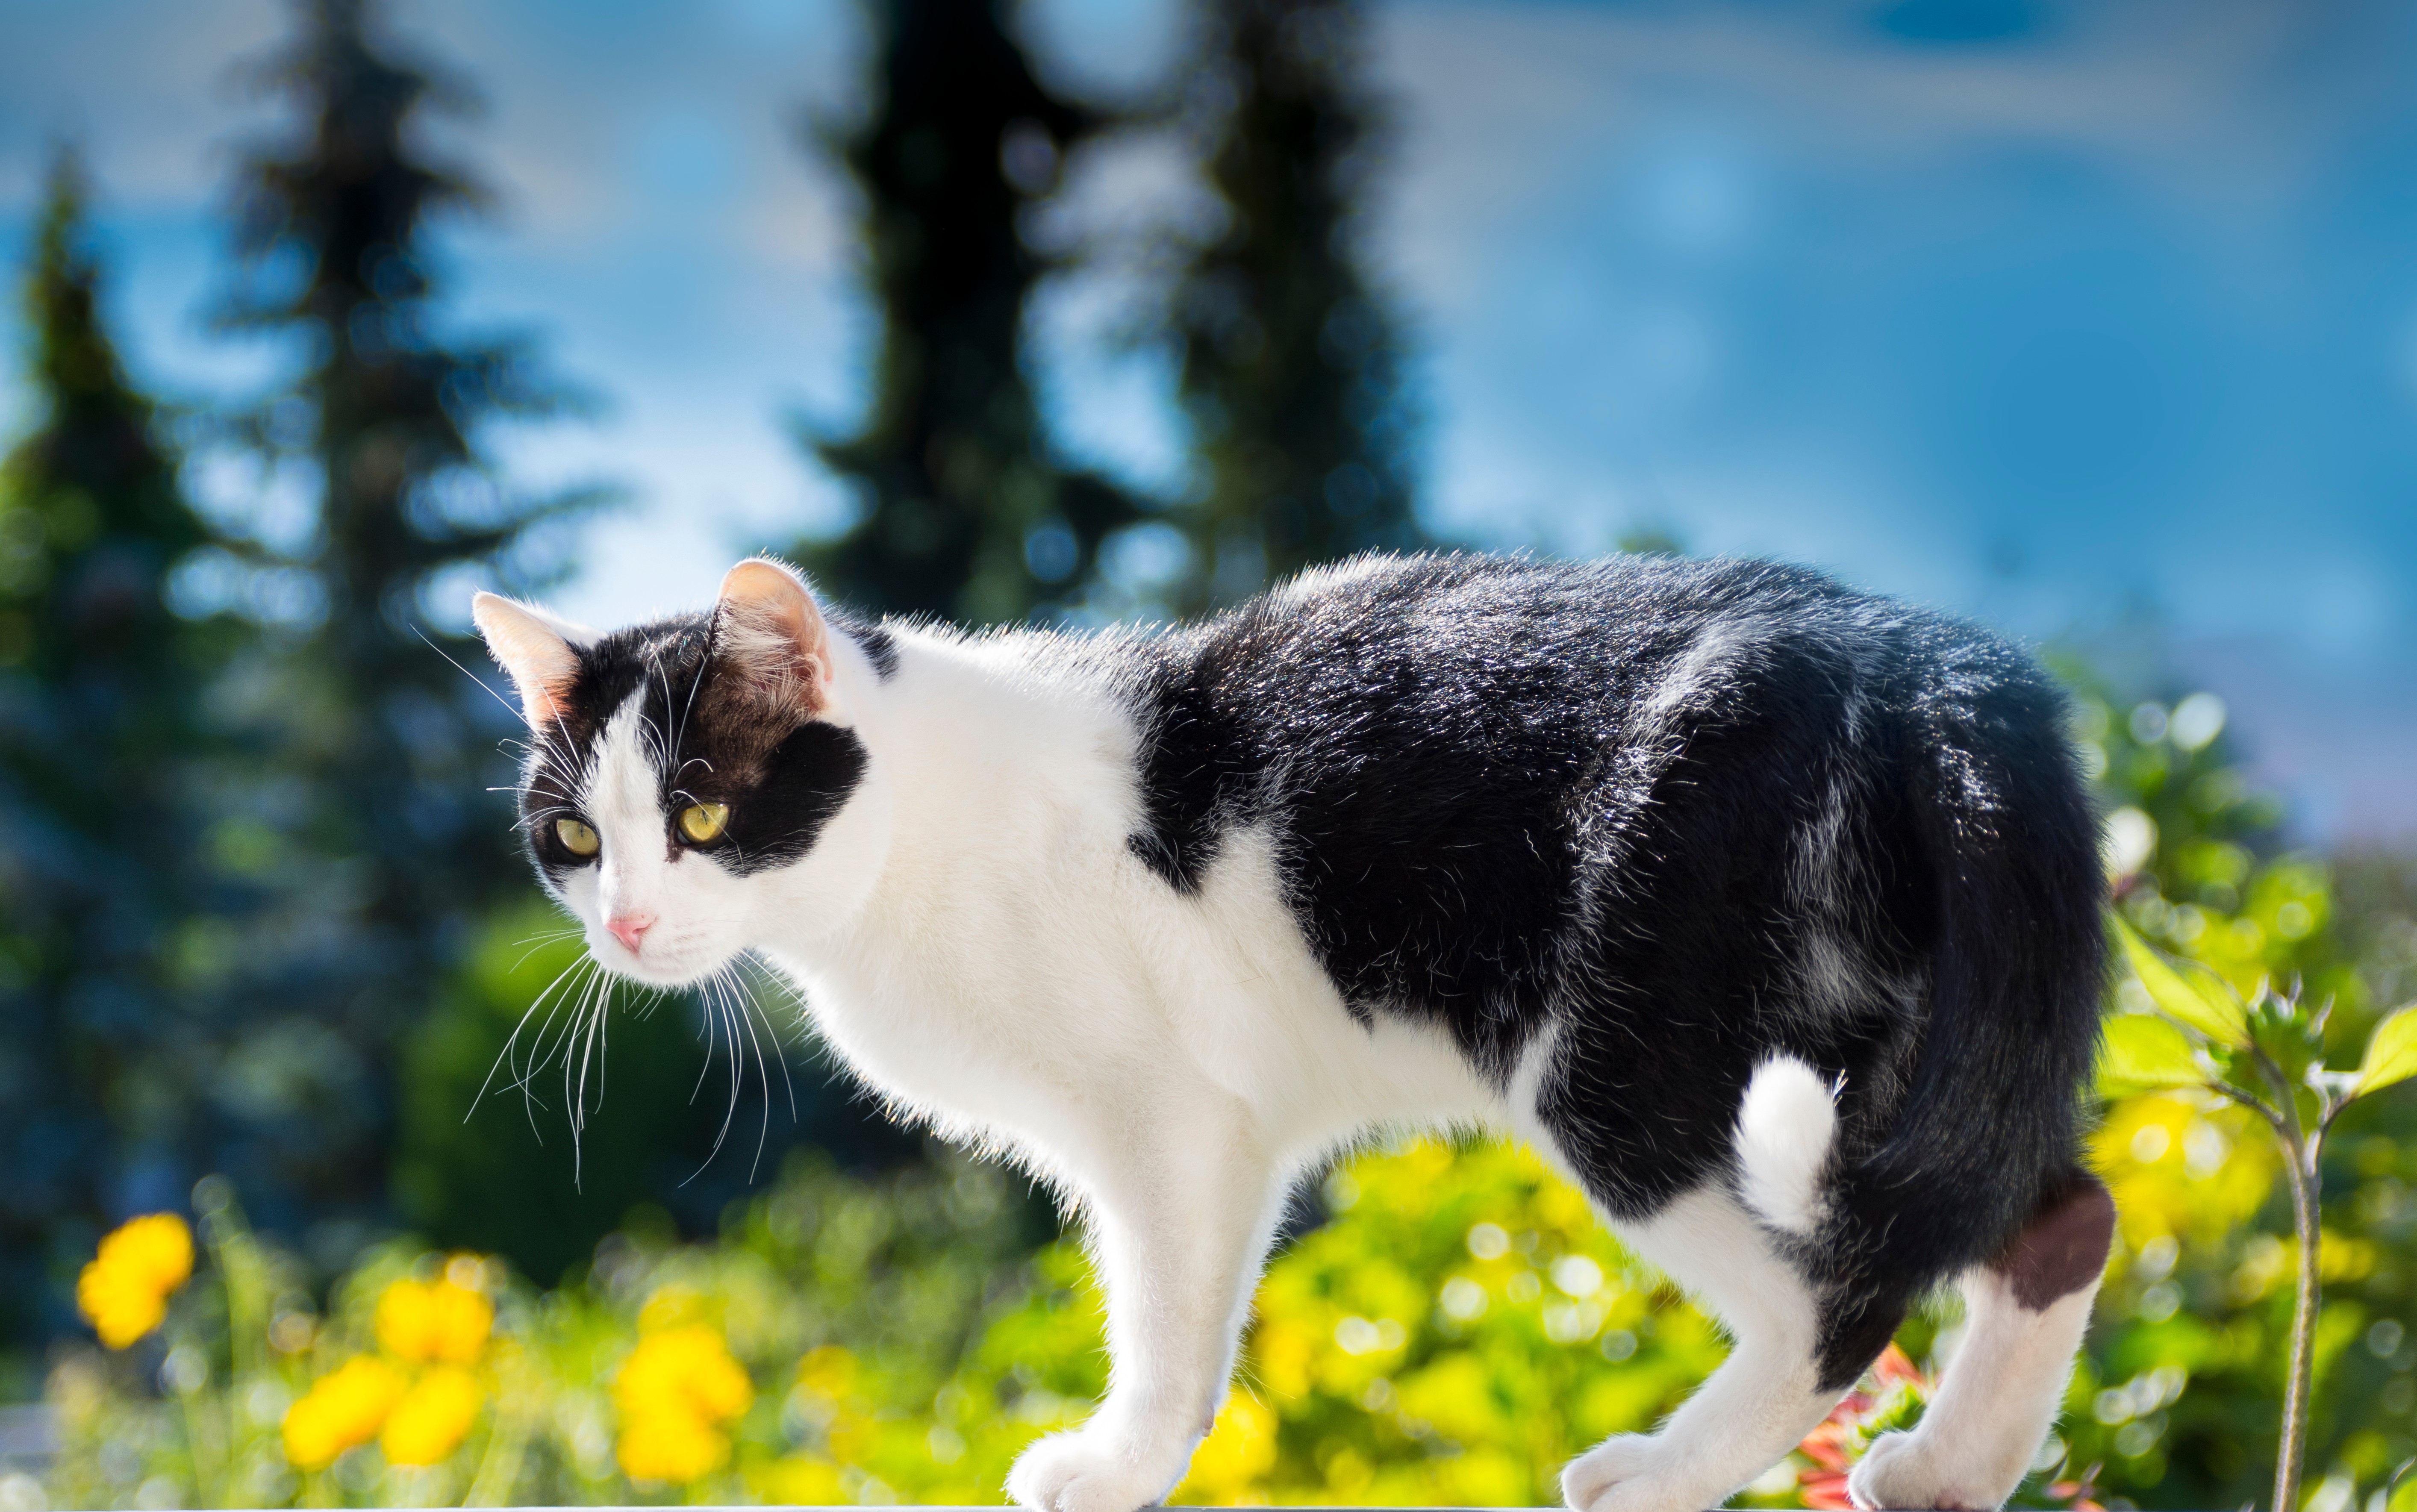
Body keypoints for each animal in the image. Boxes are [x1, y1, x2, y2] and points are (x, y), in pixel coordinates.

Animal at [471, 553, 2117, 1507]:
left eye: (699, 817)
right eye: (574, 837)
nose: (625, 926)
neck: (908, 848)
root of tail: (1935, 671)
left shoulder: (1173, 1123)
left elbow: (1167, 1316)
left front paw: (1123, 1462)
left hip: (1632, 1066)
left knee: (1834, 1294)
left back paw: (1661, 1472)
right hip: (1921, 1047)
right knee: (2053, 1212)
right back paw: (1952, 1469)